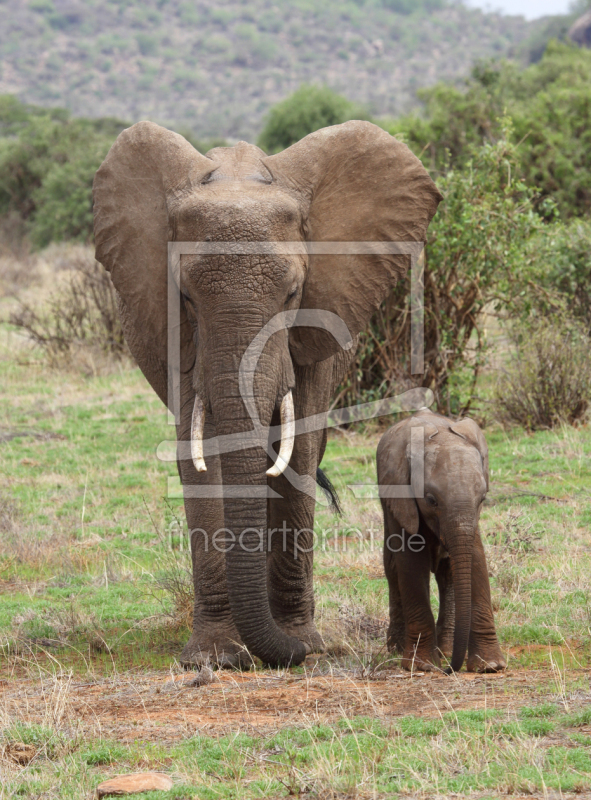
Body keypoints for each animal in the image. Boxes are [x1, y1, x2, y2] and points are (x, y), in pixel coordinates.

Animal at [92, 119, 442, 668]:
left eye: (293, 295)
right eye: (185, 298)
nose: (289, 652)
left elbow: (299, 455)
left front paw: (303, 644)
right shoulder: (181, 342)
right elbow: (202, 458)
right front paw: (215, 657)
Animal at [380, 410, 504, 672]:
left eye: (483, 498)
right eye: (431, 500)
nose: (449, 670)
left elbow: (476, 559)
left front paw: (489, 666)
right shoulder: (401, 496)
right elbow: (411, 563)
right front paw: (422, 666)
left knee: (447, 573)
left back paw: (445, 651)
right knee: (392, 568)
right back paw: (399, 650)